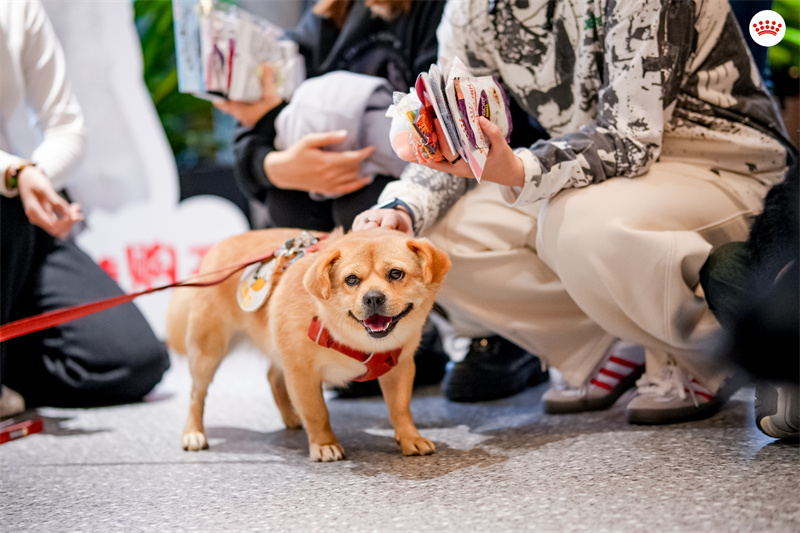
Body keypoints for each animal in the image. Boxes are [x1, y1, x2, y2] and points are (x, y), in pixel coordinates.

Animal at [166, 227, 450, 460]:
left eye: (396, 274)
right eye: (351, 280)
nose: (372, 297)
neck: (354, 341)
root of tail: (217, 249)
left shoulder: (400, 368)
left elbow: (400, 408)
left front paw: (410, 437)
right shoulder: (302, 374)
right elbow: (317, 413)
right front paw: (324, 444)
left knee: (273, 378)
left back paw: (292, 417)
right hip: (207, 354)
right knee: (197, 396)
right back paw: (193, 433)